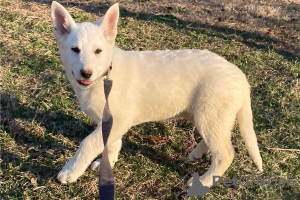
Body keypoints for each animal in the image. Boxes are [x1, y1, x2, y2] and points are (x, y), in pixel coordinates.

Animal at [49, 1, 262, 188]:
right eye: (75, 50)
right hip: (203, 115)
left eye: (98, 51)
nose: (86, 73)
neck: (104, 76)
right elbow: (110, 143)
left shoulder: (119, 120)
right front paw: (107, 163)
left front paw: (70, 171)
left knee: (225, 154)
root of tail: (241, 77)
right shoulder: (111, 122)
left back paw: (204, 181)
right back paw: (197, 154)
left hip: (210, 115)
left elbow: (88, 143)